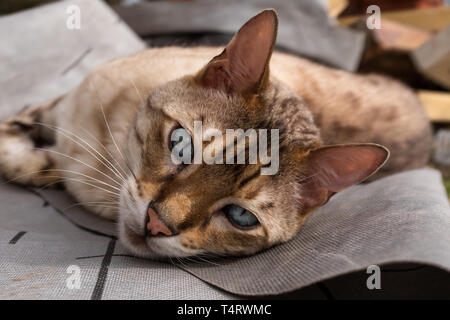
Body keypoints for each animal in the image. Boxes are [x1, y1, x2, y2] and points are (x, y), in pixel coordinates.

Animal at [0, 10, 428, 258]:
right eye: (181, 145)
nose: (156, 225)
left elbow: (25, 157)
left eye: (239, 216)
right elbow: (12, 139)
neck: (108, 157)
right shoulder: (57, 108)